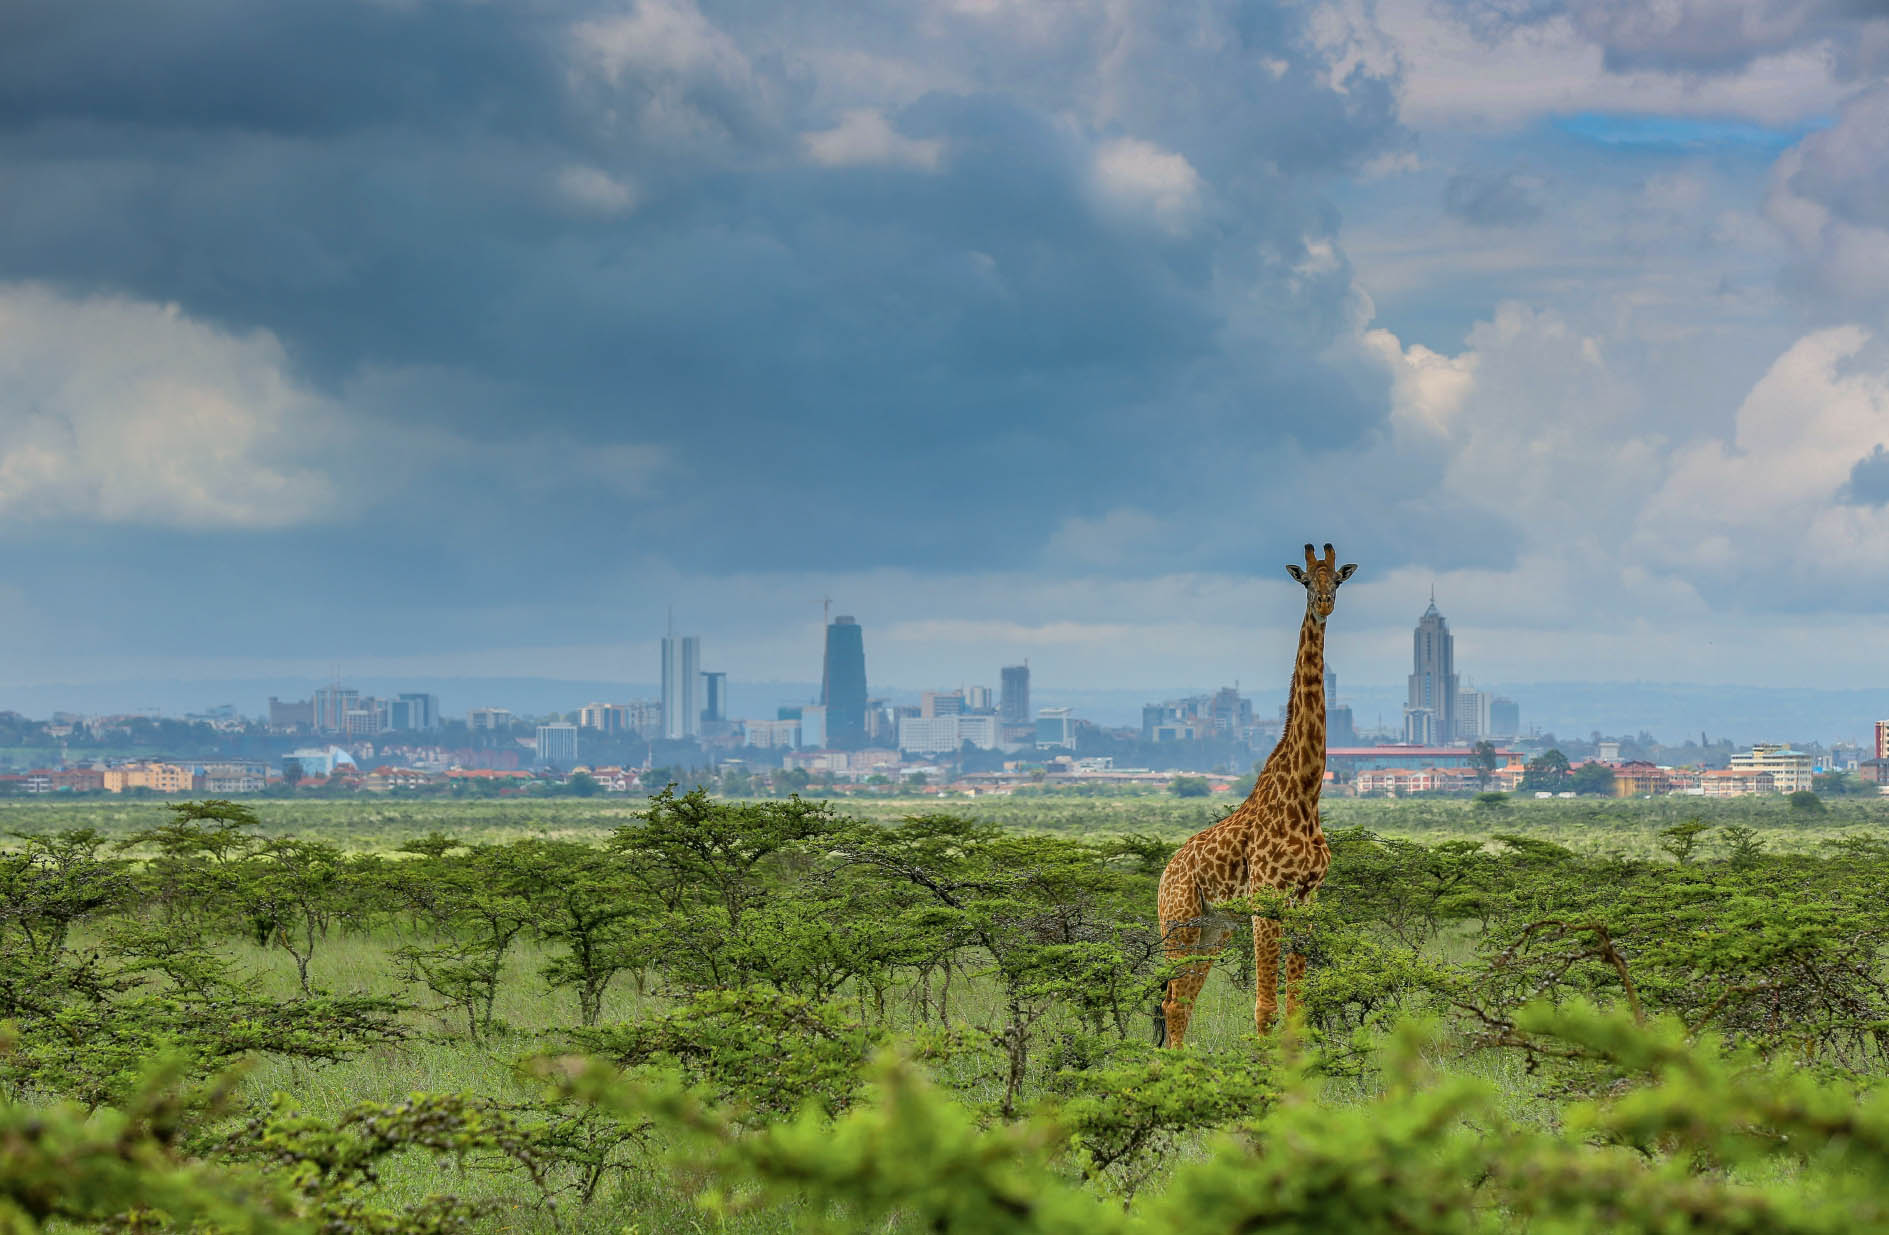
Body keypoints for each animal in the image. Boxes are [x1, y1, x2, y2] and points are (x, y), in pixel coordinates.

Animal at [1148, 543, 1360, 1042]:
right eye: (1307, 580)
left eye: (1338, 579)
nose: (1324, 604)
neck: (1305, 795)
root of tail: (1165, 873)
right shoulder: (1267, 901)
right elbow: (1265, 1009)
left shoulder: (1306, 901)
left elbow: (1296, 1008)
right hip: (1180, 921)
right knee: (1172, 1003)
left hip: (1215, 928)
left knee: (1181, 1002)